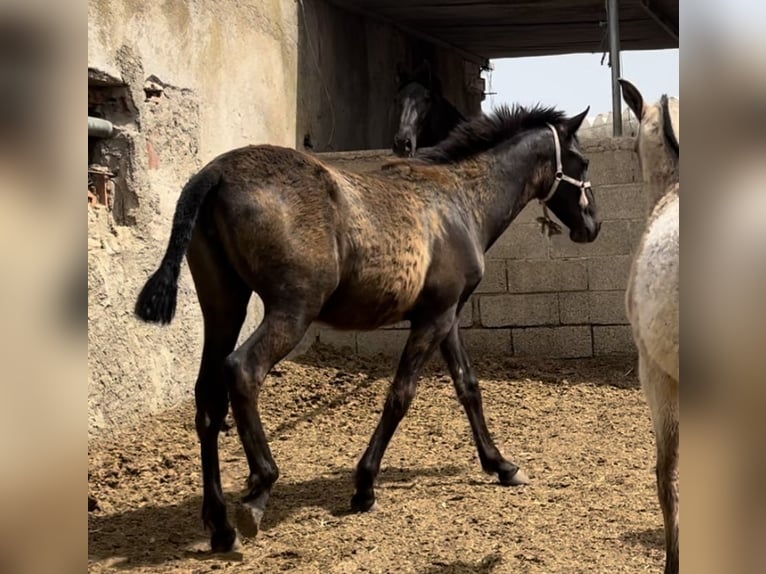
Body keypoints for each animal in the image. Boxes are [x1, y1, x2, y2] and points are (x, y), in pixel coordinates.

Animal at [140, 102, 608, 552]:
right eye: (582, 161)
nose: (593, 226)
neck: (459, 202)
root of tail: (215, 173)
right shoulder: (433, 319)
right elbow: (401, 395)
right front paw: (364, 486)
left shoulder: (446, 314)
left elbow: (468, 387)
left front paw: (502, 465)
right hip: (292, 309)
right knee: (242, 370)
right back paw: (259, 489)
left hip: (224, 306)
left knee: (208, 397)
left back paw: (219, 525)